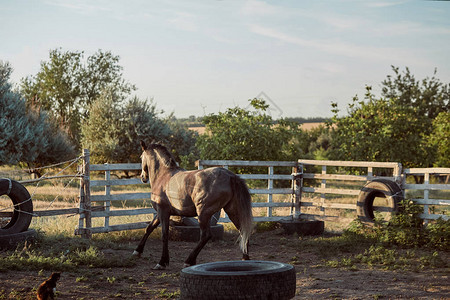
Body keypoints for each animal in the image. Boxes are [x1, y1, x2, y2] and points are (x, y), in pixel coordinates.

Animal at [133, 141, 253, 270]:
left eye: (141, 157)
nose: (143, 177)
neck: (164, 175)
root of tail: (230, 176)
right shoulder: (161, 213)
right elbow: (149, 228)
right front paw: (137, 251)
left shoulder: (163, 211)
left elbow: (164, 235)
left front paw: (162, 262)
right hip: (231, 211)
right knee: (243, 231)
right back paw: (245, 259)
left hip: (203, 213)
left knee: (205, 236)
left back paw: (189, 261)